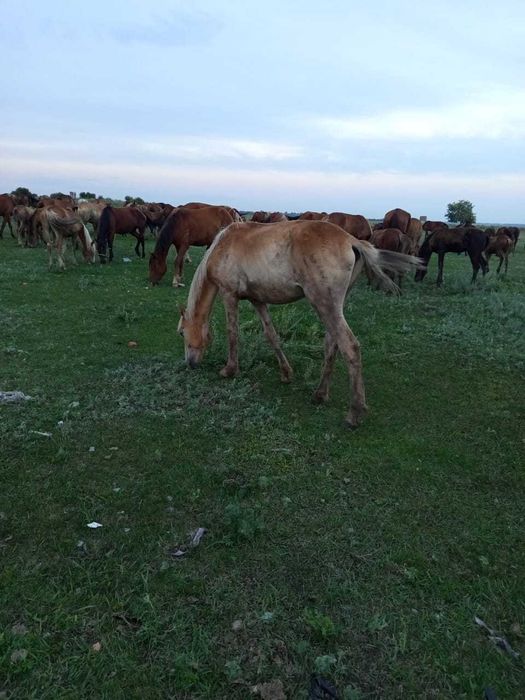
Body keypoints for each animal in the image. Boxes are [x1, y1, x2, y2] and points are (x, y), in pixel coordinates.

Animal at [178, 220, 422, 428]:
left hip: (323, 304)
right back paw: (320, 395)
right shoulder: (258, 300)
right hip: (334, 308)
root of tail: (352, 241)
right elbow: (271, 335)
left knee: (350, 347)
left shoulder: (229, 294)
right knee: (331, 345)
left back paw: (354, 413)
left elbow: (232, 333)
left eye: (181, 333)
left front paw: (229, 370)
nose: (190, 363)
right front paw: (286, 373)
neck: (223, 244)